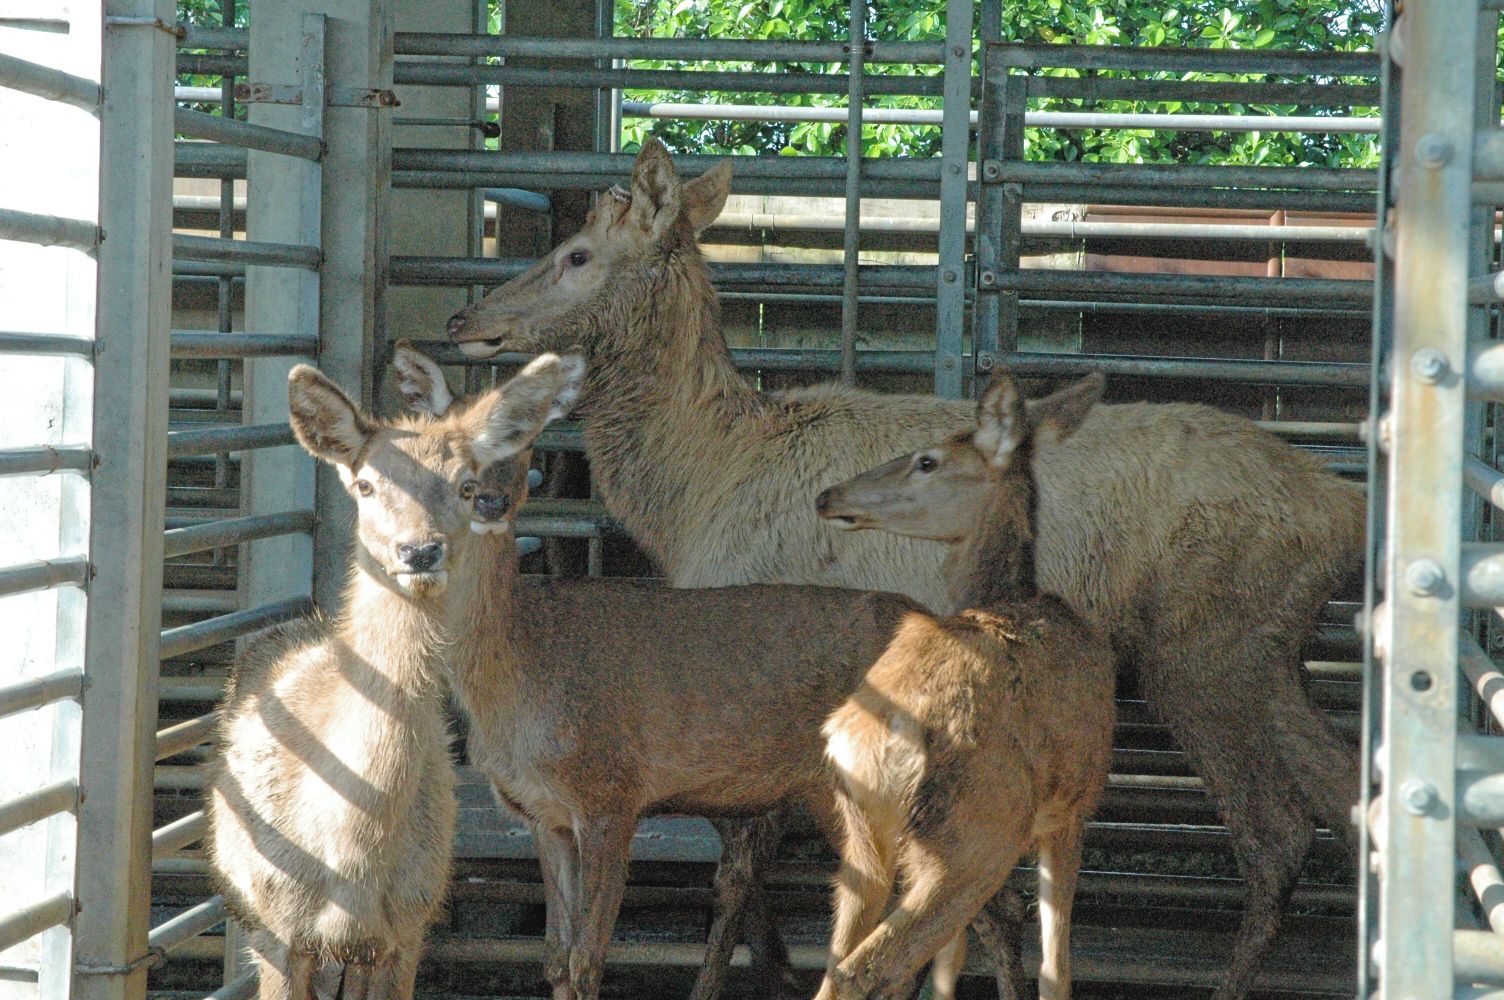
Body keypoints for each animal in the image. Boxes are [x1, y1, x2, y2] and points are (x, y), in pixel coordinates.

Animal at [209, 353, 583, 998]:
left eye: (465, 485)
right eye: (366, 483)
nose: (419, 551)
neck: (351, 860)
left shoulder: (409, 926)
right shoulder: (281, 929)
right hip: (250, 911)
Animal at [812, 372, 1118, 998]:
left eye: (927, 461)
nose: (828, 495)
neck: (1011, 593)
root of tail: (873, 733)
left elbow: (951, 962)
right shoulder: (1074, 806)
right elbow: (1056, 967)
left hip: (866, 833)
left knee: (840, 965)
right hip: (978, 833)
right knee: (869, 968)